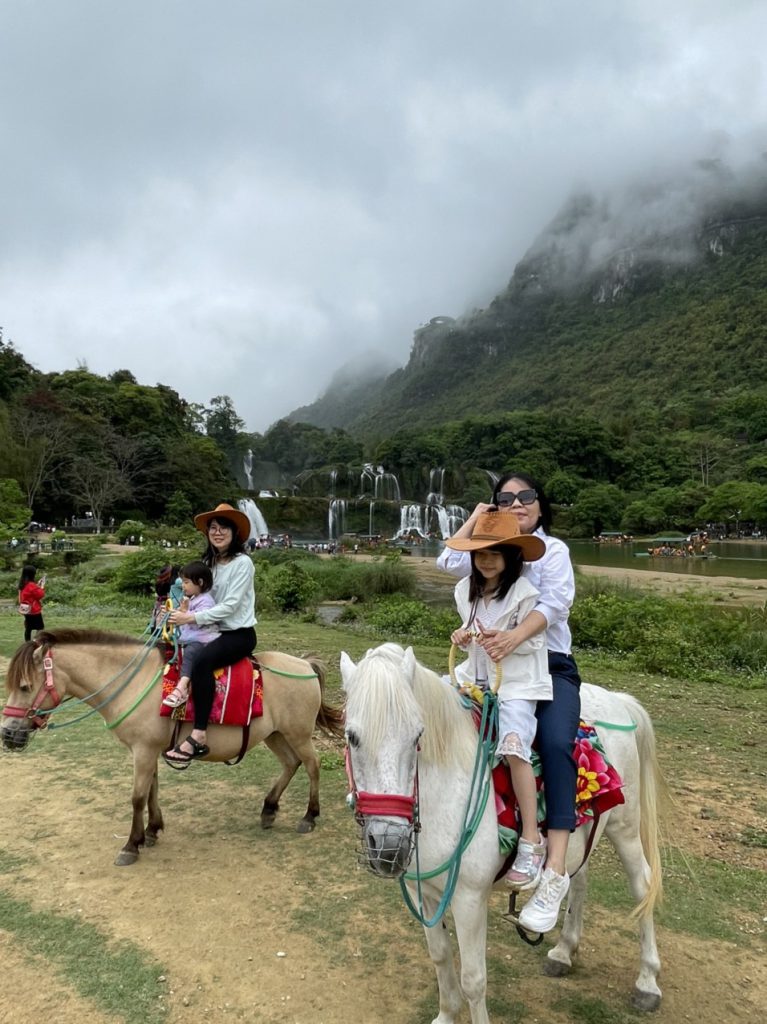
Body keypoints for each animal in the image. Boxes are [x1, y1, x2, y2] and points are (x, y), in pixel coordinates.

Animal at [0, 630, 342, 864]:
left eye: (25, 687)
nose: (7, 734)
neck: (133, 682)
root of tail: (305, 665)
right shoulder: (148, 750)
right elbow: (152, 790)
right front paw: (152, 831)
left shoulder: (143, 750)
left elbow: (137, 796)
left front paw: (131, 845)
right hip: (276, 734)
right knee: (290, 764)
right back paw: (269, 809)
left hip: (298, 733)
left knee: (312, 766)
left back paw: (309, 816)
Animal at [337, 643, 659, 1019]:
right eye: (352, 737)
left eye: (417, 735)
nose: (389, 847)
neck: (448, 787)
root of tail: (617, 701)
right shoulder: (424, 893)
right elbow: (440, 956)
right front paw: (446, 1016)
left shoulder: (468, 898)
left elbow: (474, 980)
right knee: (578, 880)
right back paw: (563, 952)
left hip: (625, 827)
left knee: (643, 885)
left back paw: (647, 982)